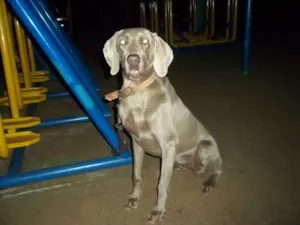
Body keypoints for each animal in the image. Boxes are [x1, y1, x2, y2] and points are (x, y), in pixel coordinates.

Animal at [103, 27, 223, 223]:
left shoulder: (167, 143)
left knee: (217, 168)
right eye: (122, 42)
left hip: (205, 147)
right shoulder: (136, 141)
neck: (138, 93)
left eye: (145, 42)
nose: (133, 60)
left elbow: (162, 186)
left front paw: (157, 211)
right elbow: (136, 174)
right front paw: (134, 198)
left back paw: (208, 182)